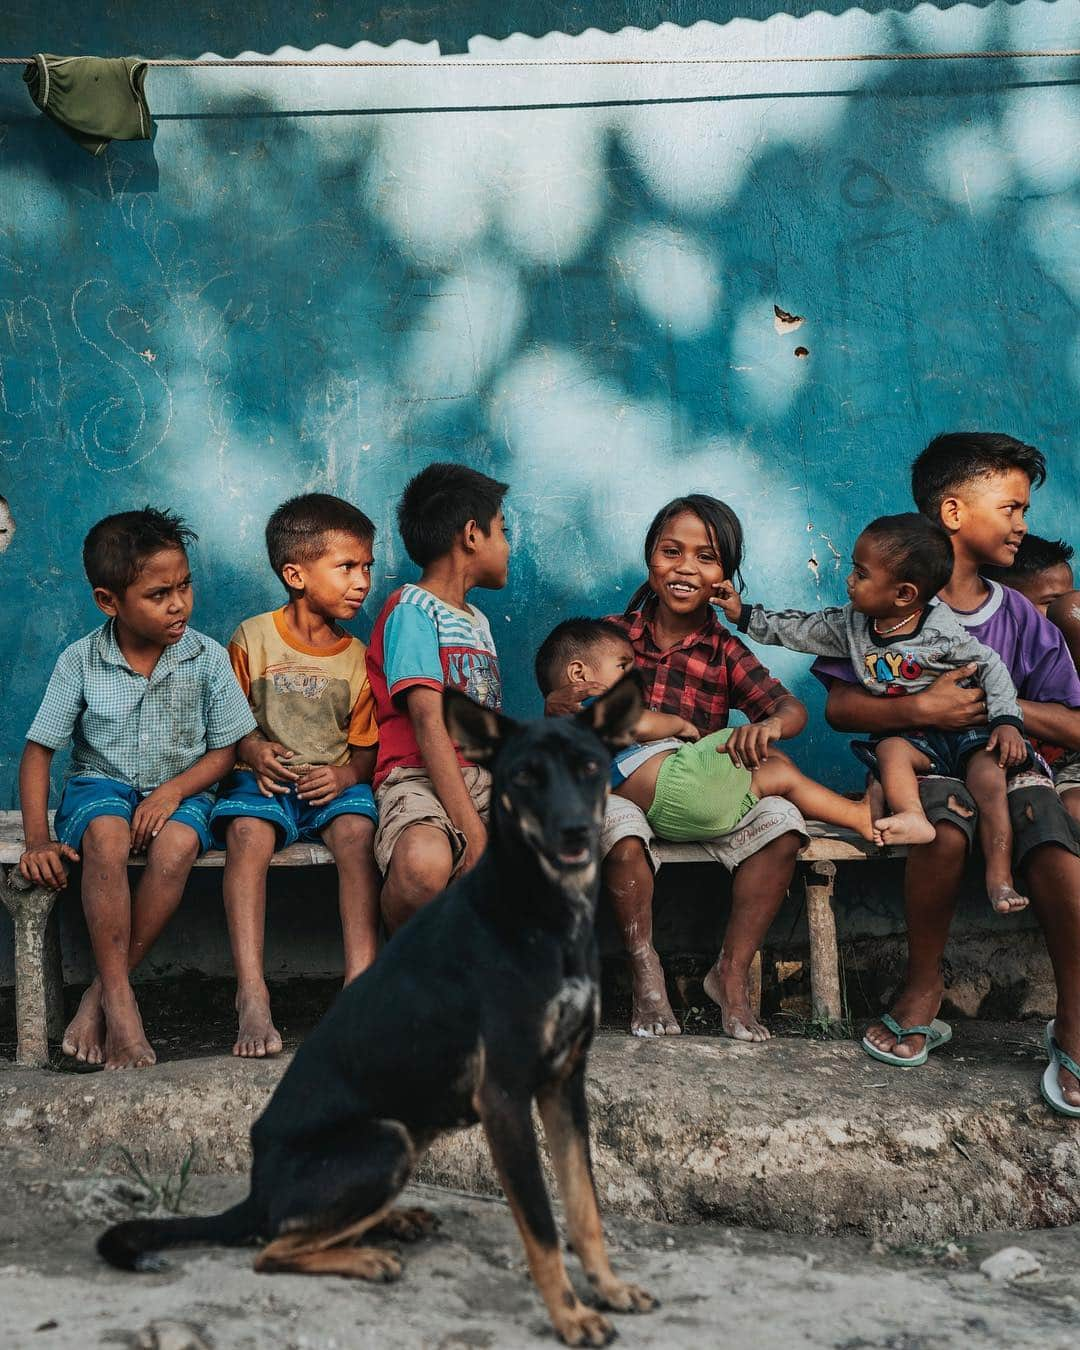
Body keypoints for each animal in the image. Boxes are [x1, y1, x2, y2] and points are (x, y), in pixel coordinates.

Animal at [101, 672, 653, 1339]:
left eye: (591, 767)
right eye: (524, 776)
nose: (575, 833)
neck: (541, 914)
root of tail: (255, 1193)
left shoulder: (564, 1083)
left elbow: (584, 1206)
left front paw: (609, 1289)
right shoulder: (504, 1097)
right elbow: (542, 1225)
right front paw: (570, 1316)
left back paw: (393, 1221)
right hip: (387, 1139)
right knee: (271, 1247)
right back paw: (364, 1255)